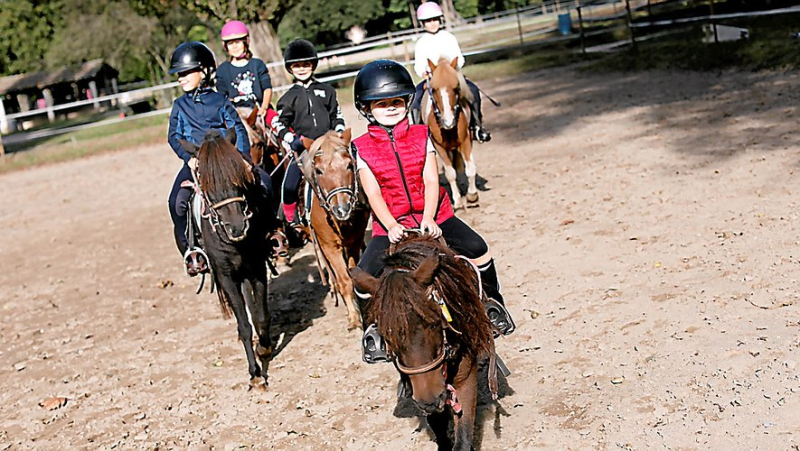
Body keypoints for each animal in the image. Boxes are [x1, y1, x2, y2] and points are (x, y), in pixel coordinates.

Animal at [181, 131, 278, 392]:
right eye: (207, 184)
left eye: (239, 178)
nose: (237, 227)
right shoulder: (226, 276)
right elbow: (243, 324)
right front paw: (255, 374)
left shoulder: (256, 268)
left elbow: (261, 316)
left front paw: (264, 348)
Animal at [298, 129, 370, 330]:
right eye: (318, 170)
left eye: (349, 165)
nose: (342, 208)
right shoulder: (329, 246)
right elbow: (344, 279)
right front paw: (353, 317)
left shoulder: (354, 241)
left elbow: (353, 274)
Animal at [352, 235, 500, 450]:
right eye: (387, 336)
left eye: (435, 322)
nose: (429, 400)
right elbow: (437, 424)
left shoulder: (464, 377)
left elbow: (463, 437)